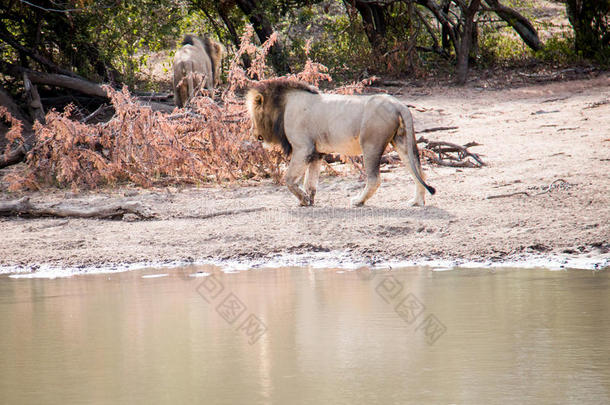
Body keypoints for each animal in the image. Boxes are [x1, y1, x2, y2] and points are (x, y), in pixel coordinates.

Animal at [245, 77, 434, 207]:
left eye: (253, 115)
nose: (253, 133)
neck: (283, 105)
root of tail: (398, 105)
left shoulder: (303, 148)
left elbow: (289, 179)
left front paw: (303, 200)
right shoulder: (316, 153)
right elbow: (310, 182)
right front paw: (308, 200)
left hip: (371, 145)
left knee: (375, 179)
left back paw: (358, 201)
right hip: (402, 142)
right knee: (419, 172)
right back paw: (416, 202)